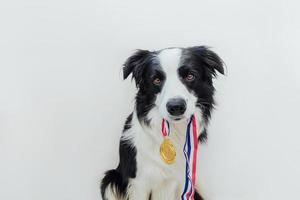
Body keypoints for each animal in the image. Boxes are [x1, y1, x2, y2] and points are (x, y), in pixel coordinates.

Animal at [101, 46, 225, 199]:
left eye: (190, 76)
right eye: (156, 80)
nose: (176, 107)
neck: (174, 131)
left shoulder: (184, 181)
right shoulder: (139, 182)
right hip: (109, 180)